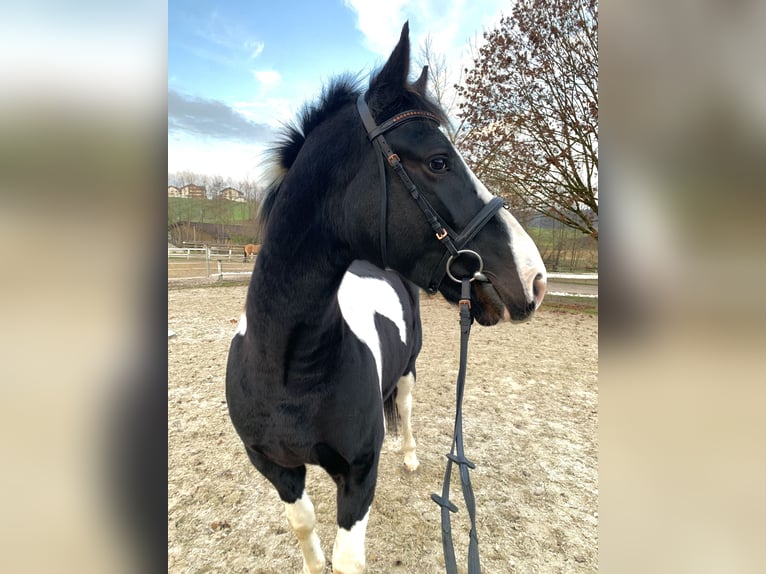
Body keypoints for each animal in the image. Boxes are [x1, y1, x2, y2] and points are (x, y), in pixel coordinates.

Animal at [225, 23, 548, 574]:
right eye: (439, 161)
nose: (535, 278)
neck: (289, 367)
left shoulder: (358, 474)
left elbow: (347, 558)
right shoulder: (274, 465)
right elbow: (303, 525)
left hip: (409, 371)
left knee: (408, 406)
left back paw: (413, 456)